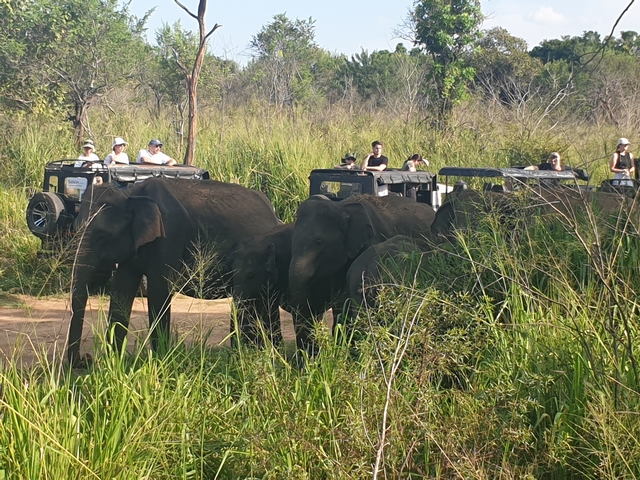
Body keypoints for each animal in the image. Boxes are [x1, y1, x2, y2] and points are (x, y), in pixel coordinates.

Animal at [67, 177, 281, 366]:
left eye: (103, 235)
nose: (85, 359)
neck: (130, 193)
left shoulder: (170, 235)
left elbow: (159, 289)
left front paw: (160, 359)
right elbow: (122, 288)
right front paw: (114, 362)